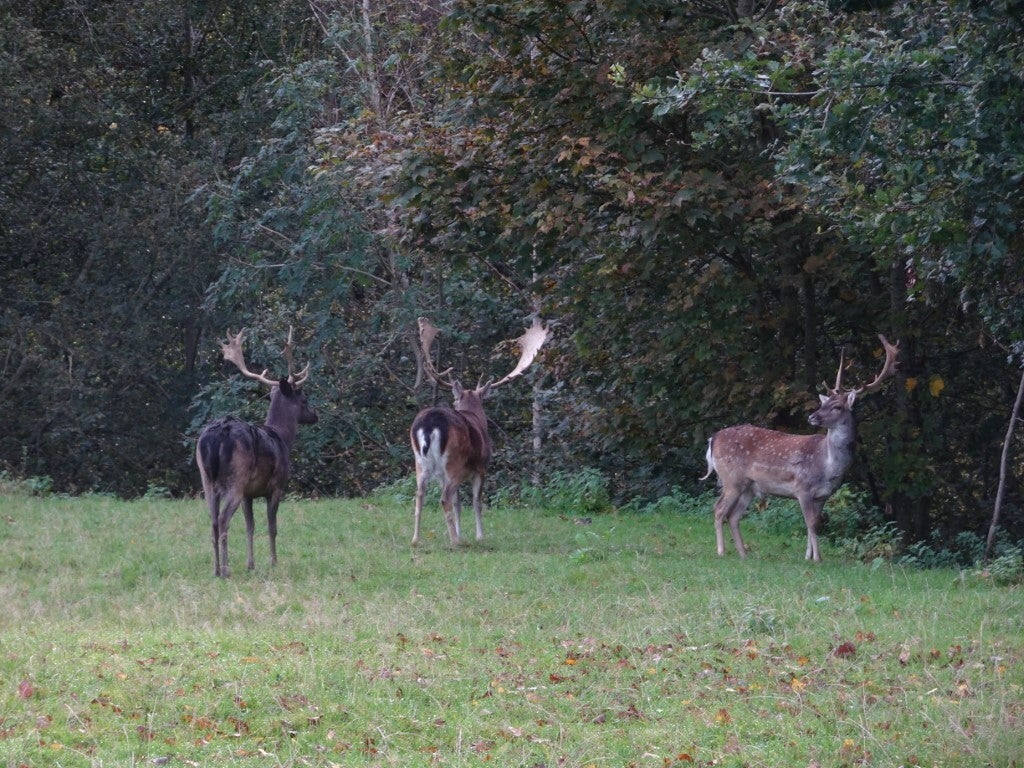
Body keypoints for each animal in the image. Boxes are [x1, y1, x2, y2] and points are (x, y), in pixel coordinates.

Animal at [195, 327, 317, 577]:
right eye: (304, 398)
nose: (315, 415)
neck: (282, 437)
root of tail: (217, 434)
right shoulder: (277, 486)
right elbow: (272, 526)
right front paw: (273, 562)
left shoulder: (249, 494)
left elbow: (250, 526)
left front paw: (251, 564)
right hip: (236, 478)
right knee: (223, 519)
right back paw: (226, 570)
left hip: (206, 479)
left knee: (213, 521)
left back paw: (216, 569)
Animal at [410, 316, 549, 547]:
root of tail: (429, 424)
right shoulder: (481, 468)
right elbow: (477, 502)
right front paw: (479, 536)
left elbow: (458, 505)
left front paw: (462, 533)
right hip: (454, 463)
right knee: (444, 498)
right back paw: (454, 543)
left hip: (420, 463)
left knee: (420, 496)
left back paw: (416, 539)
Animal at [702, 334, 899, 562]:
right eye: (823, 404)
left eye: (837, 407)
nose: (812, 416)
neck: (828, 466)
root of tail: (713, 438)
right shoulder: (802, 487)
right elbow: (811, 523)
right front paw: (817, 559)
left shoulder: (823, 495)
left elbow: (814, 523)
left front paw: (808, 557)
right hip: (731, 477)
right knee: (718, 509)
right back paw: (721, 551)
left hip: (749, 486)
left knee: (733, 516)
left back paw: (743, 554)